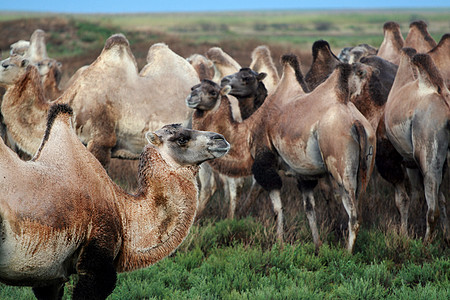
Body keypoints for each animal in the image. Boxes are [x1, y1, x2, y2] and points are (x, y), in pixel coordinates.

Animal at [186, 54, 376, 253]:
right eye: (195, 87)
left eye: (212, 92)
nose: (191, 96)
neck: (248, 131)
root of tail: (356, 123)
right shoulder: (303, 173)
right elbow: (310, 209)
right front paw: (317, 247)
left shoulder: (265, 164)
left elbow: (277, 209)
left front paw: (280, 245)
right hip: (366, 165)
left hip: (339, 163)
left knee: (353, 215)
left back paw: (347, 254)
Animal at [380, 48, 450, 241]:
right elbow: (440, 198)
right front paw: (447, 236)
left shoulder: (397, 160)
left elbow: (402, 200)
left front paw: (403, 235)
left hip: (428, 151)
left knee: (432, 210)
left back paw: (425, 243)